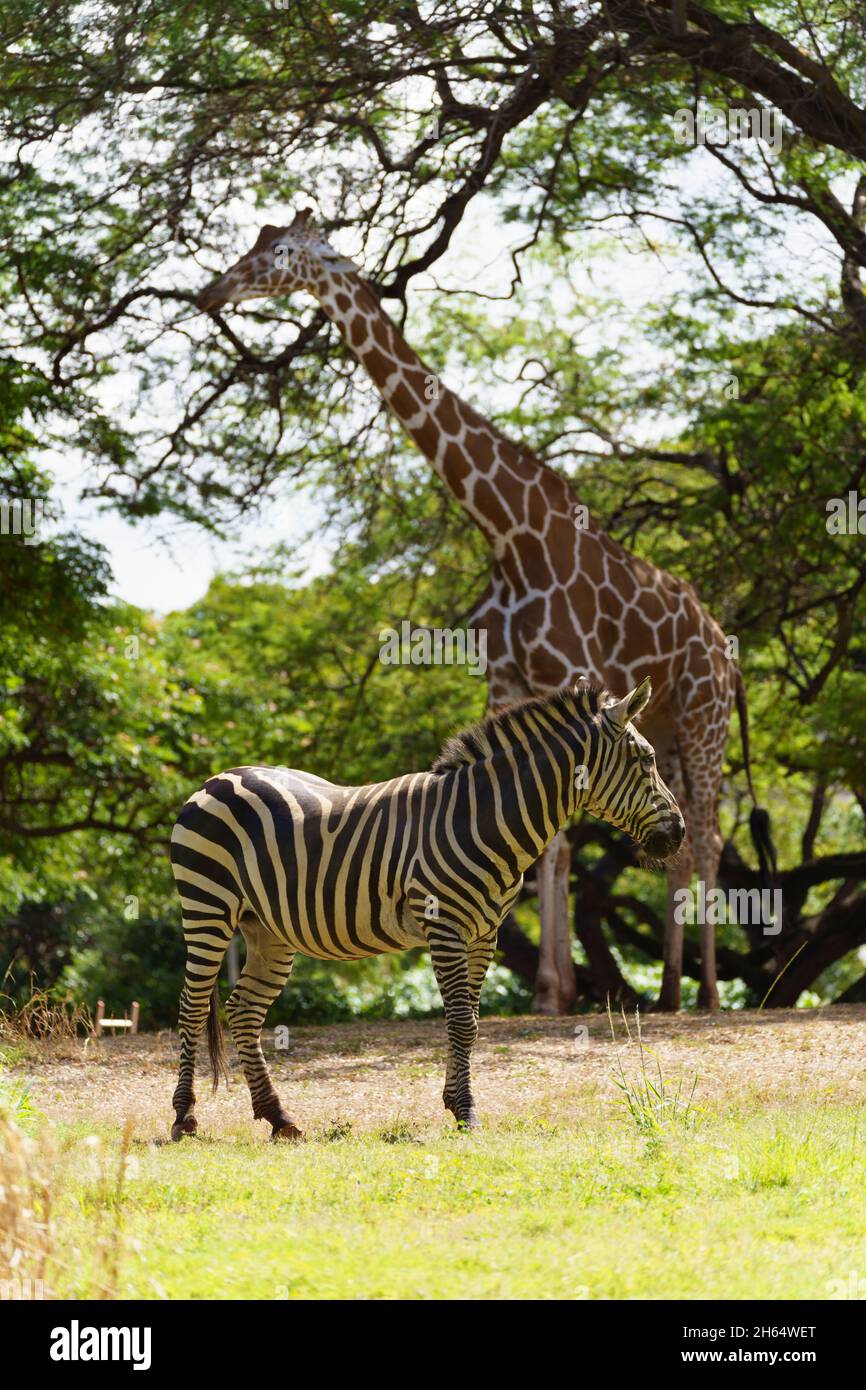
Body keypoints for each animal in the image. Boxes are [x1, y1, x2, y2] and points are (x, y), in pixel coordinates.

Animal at [194, 208, 771, 1013]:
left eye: (277, 253)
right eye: (252, 242)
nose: (211, 291)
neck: (508, 531)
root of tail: (726, 649)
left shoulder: (566, 675)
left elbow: (558, 836)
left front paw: (554, 991)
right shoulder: (506, 680)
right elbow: (541, 832)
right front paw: (551, 990)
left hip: (702, 717)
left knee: (709, 837)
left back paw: (705, 992)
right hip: (662, 720)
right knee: (687, 842)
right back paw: (668, 991)